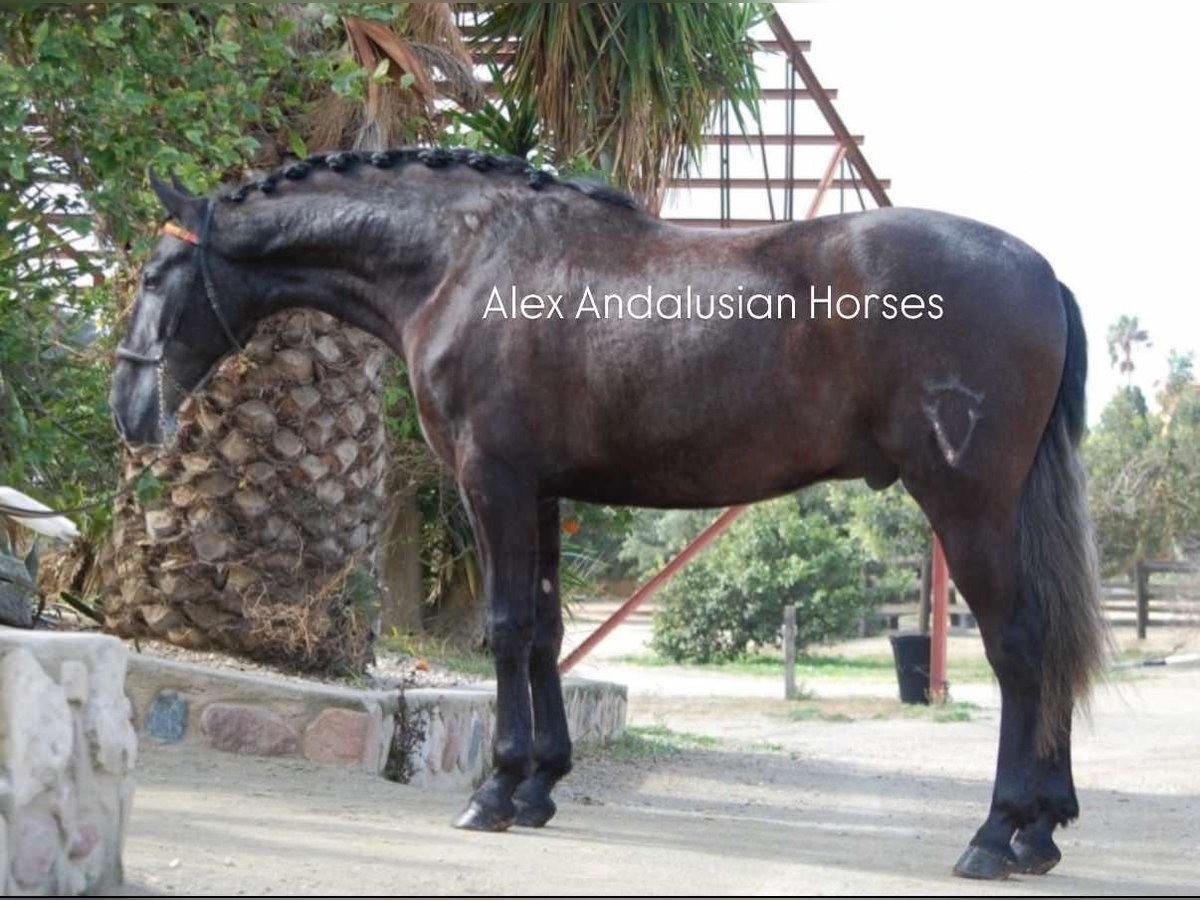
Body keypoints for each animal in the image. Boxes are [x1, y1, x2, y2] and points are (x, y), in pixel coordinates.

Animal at [112, 148, 1104, 883]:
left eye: (157, 274)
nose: (129, 409)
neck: (463, 262)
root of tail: (1044, 274)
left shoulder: (493, 481)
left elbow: (508, 628)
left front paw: (494, 791)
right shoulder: (543, 491)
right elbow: (546, 628)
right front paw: (539, 786)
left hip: (966, 503)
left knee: (1019, 646)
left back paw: (994, 836)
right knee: (1051, 638)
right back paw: (1040, 831)